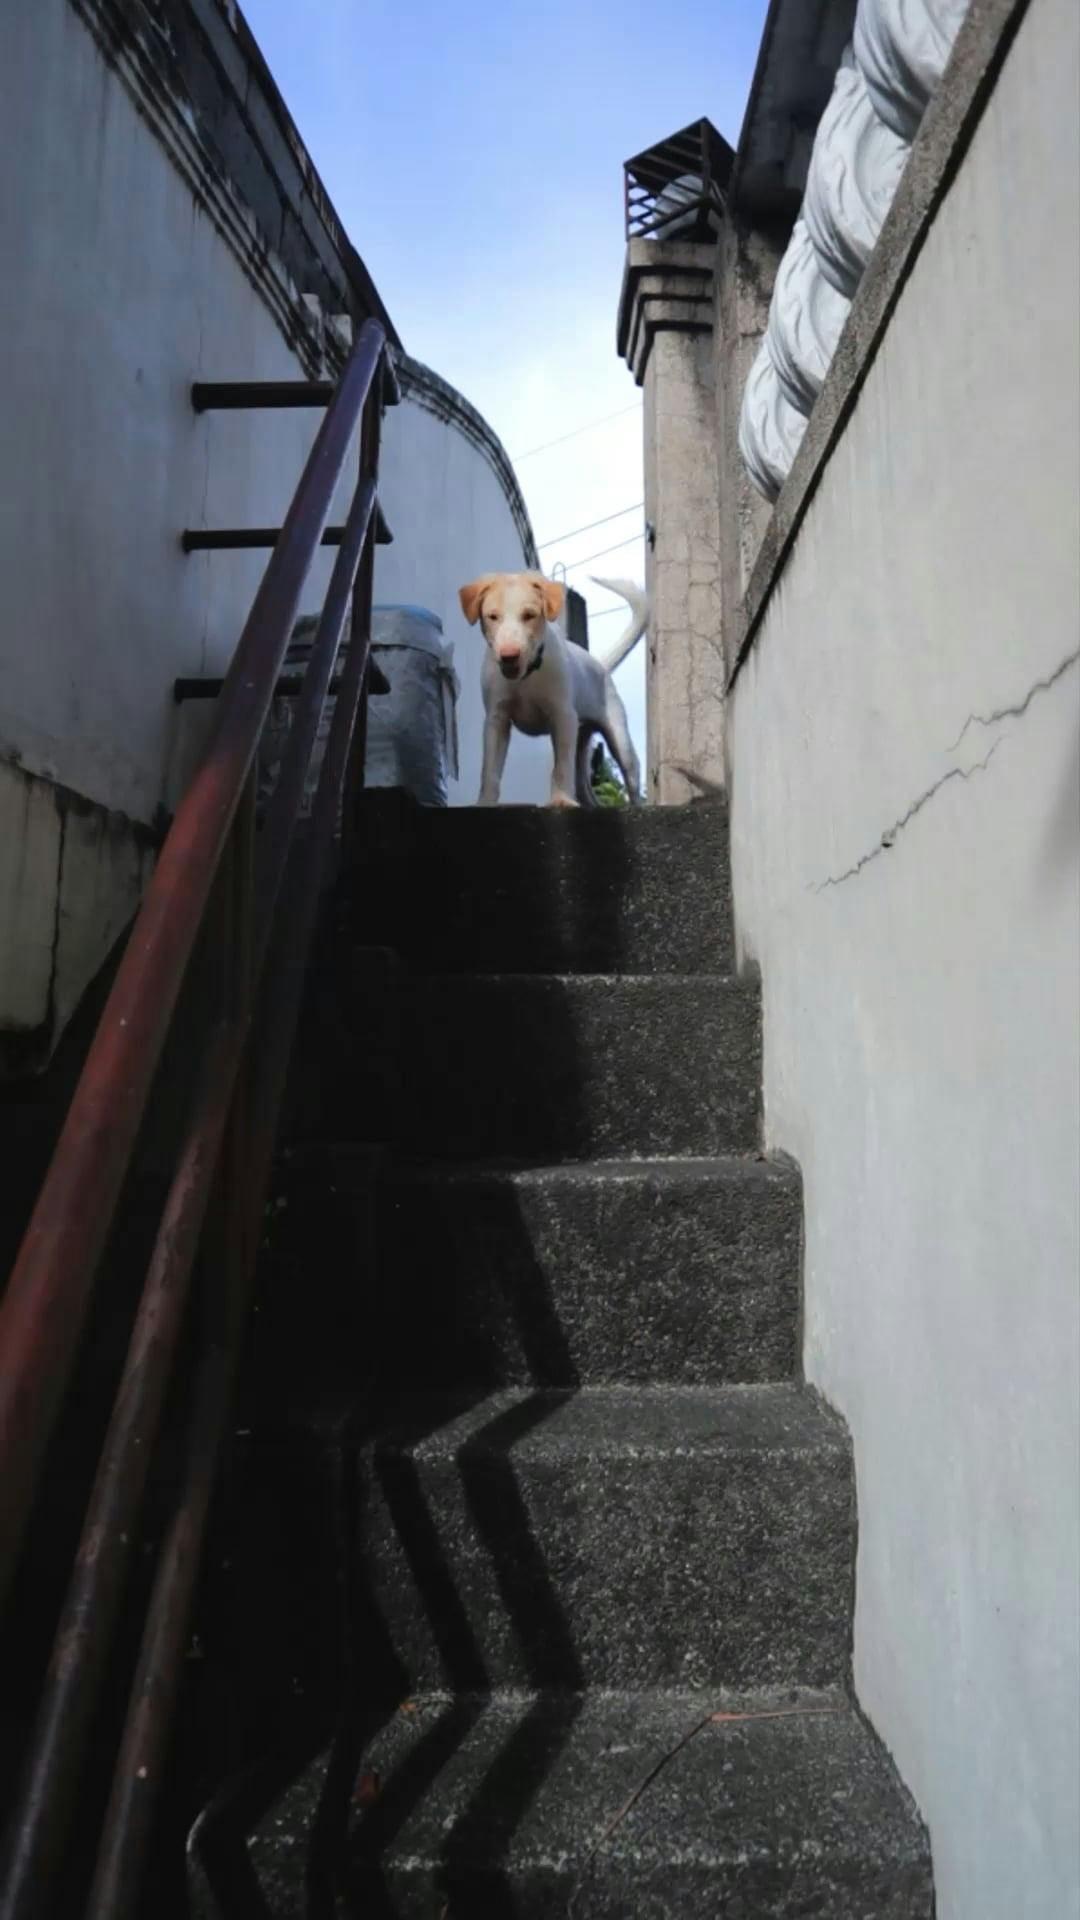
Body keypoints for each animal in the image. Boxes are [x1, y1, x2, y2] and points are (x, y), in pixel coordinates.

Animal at [457, 571, 647, 807]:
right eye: (493, 617)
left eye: (529, 615)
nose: (509, 656)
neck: (527, 677)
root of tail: (601, 666)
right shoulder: (496, 720)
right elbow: (490, 770)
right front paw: (485, 802)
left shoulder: (563, 716)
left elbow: (560, 766)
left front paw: (561, 801)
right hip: (581, 741)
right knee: (585, 791)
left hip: (619, 738)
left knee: (631, 776)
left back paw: (637, 805)